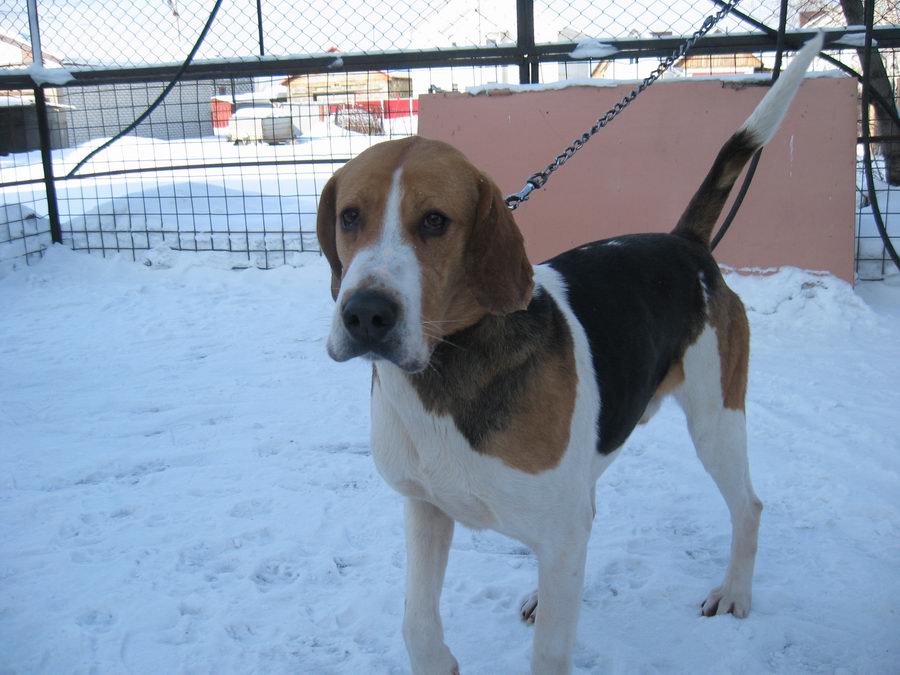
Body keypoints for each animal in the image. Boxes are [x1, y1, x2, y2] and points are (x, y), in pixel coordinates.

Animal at [316, 34, 823, 675]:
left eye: (435, 221)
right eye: (349, 217)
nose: (365, 315)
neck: (448, 368)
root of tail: (684, 245)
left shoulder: (558, 534)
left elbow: (550, 654)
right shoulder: (426, 508)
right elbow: (416, 625)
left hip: (716, 422)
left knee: (749, 507)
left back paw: (734, 591)